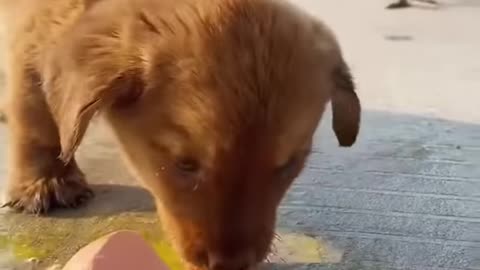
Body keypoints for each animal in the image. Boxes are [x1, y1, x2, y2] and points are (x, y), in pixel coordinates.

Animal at [0, 0, 360, 268]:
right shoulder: (31, 30)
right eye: (185, 164)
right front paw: (48, 180)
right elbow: (35, 112)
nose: (230, 265)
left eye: (287, 166)